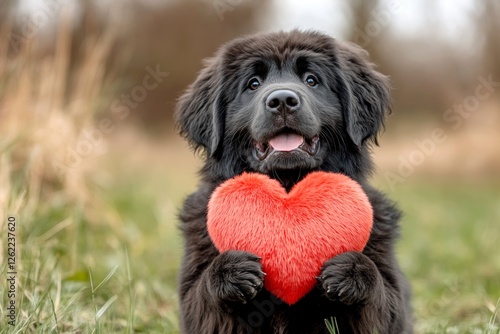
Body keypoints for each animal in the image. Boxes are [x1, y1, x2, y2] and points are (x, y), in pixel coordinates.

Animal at [174, 30, 412, 332]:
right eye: (253, 84)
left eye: (311, 79)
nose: (282, 101)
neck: (288, 184)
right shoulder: (197, 300)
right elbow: (203, 294)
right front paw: (230, 270)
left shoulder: (391, 300)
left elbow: (381, 295)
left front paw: (352, 270)